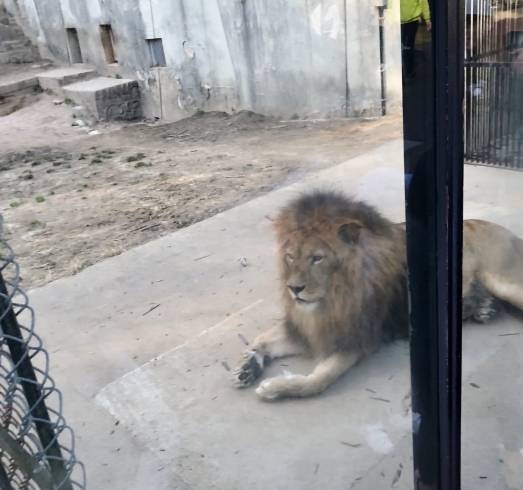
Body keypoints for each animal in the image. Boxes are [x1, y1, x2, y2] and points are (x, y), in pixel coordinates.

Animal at [233, 189, 523, 400]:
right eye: (290, 256)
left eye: (317, 258)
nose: (294, 289)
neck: (334, 299)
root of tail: (507, 232)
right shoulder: (310, 326)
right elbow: (262, 339)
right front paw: (248, 366)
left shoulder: (355, 338)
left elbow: (318, 381)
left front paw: (273, 387)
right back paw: (484, 308)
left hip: (504, 281)